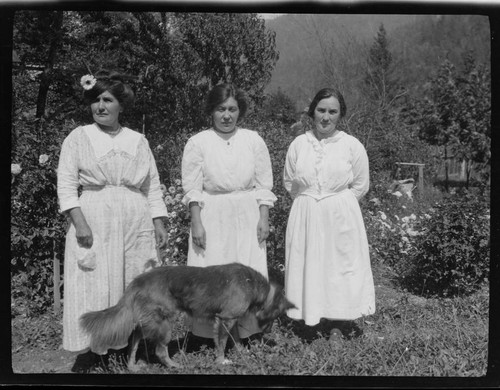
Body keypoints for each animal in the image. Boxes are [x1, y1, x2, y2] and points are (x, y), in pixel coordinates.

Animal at [80, 262, 294, 368]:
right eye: (276, 316)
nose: (268, 332)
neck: (254, 285)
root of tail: (137, 281)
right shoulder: (225, 319)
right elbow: (222, 342)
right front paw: (221, 361)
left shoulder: (231, 319)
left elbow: (236, 339)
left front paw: (242, 352)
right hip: (165, 324)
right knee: (159, 351)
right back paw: (176, 366)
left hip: (148, 321)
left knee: (134, 340)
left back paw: (132, 366)